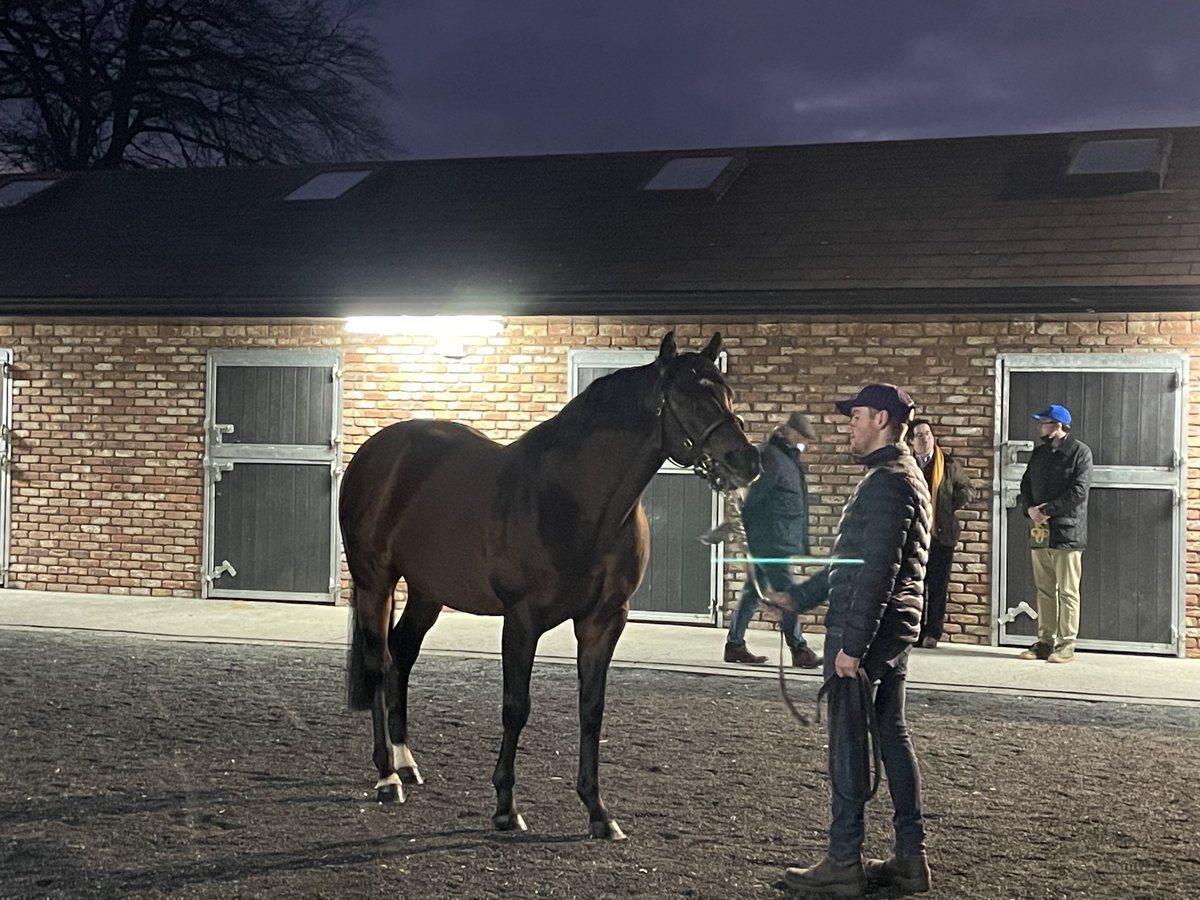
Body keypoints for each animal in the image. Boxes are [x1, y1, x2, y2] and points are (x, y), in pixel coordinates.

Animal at [337, 331, 760, 840]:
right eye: (688, 396)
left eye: (727, 392)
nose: (747, 460)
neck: (575, 500)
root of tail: (375, 453)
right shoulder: (522, 620)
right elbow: (516, 707)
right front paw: (506, 806)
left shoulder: (604, 621)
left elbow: (592, 709)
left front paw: (599, 812)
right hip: (374, 580)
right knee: (379, 663)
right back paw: (386, 777)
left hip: (427, 592)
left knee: (402, 652)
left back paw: (406, 762)